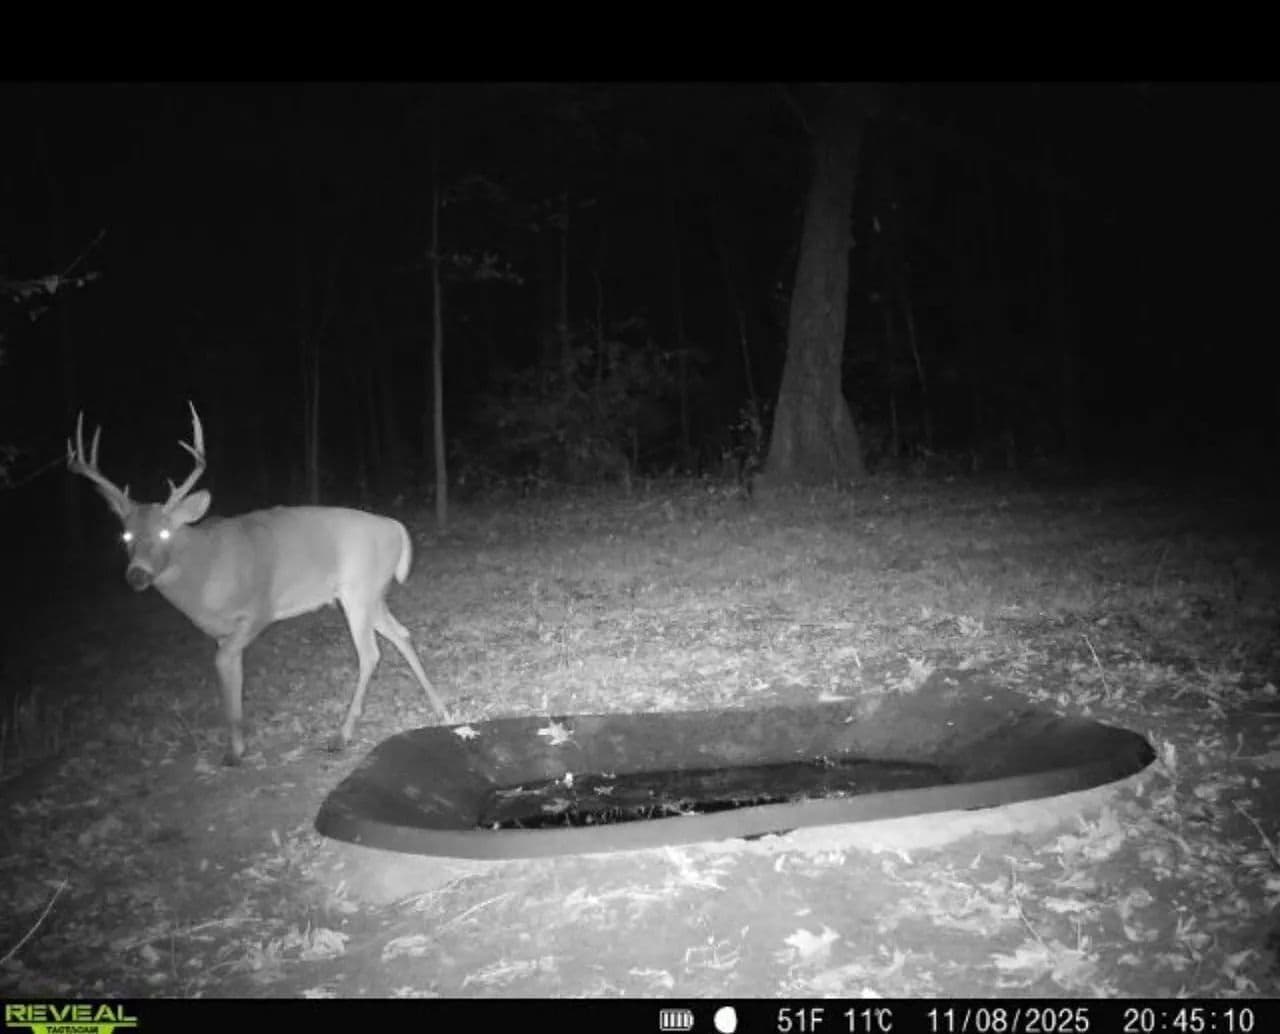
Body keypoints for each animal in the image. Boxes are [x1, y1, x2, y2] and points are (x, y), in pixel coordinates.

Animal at [66, 401, 451, 765]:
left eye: (164, 532)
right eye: (126, 535)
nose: (137, 575)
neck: (206, 571)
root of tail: (396, 528)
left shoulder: (257, 610)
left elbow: (222, 663)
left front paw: (235, 751)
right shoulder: (222, 631)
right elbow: (230, 675)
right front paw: (236, 746)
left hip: (358, 591)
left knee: (370, 652)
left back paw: (342, 736)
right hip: (371, 594)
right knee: (402, 634)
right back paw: (441, 709)